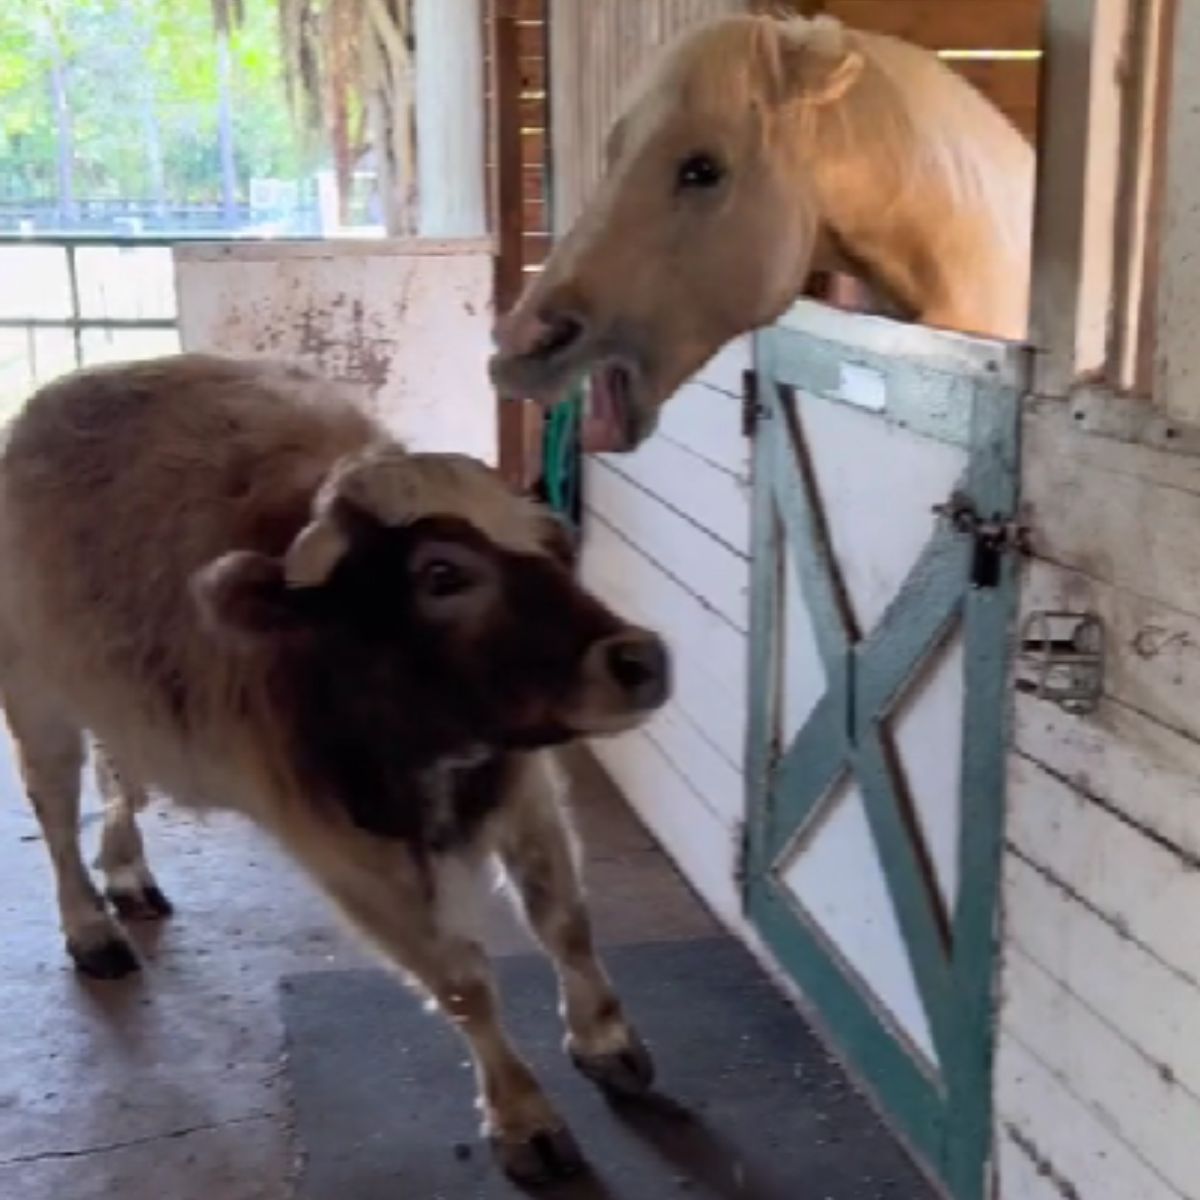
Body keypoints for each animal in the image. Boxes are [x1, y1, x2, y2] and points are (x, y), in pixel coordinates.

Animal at [0, 352, 676, 1180]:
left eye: (554, 548)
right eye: (442, 574)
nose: (639, 659)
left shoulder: (521, 786)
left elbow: (564, 919)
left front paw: (606, 1041)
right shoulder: (340, 847)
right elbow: (461, 980)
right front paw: (523, 1115)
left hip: (117, 702)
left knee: (119, 778)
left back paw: (126, 873)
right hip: (35, 696)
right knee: (55, 812)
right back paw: (90, 926)